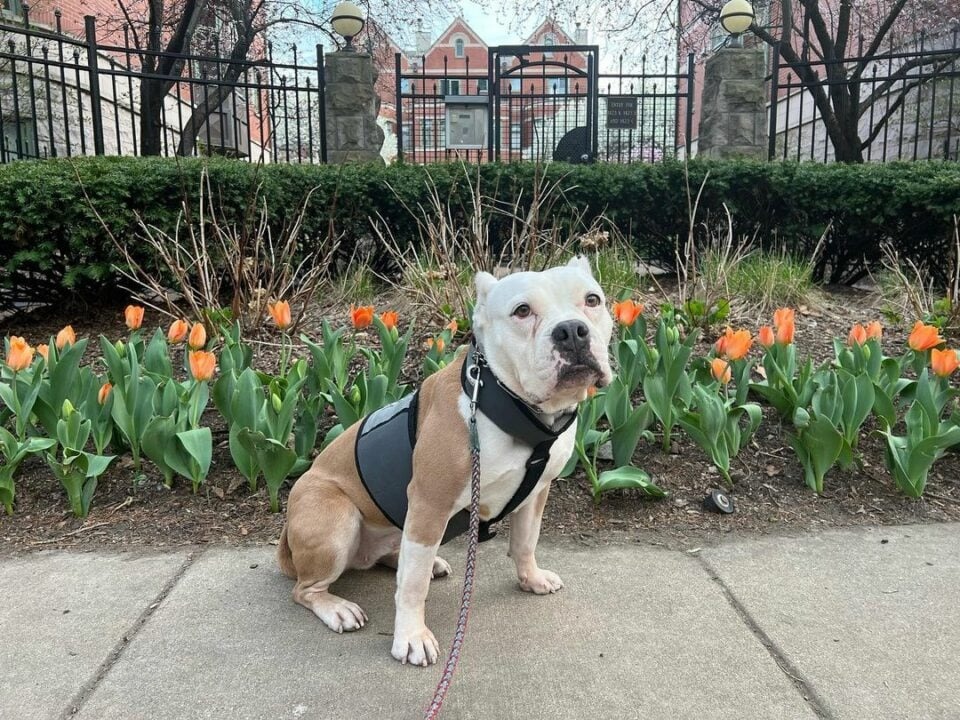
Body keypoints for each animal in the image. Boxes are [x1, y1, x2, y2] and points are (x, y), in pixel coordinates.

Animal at [276, 256, 616, 668]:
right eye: (521, 311)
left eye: (592, 300)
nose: (571, 331)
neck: (514, 405)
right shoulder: (430, 504)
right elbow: (412, 586)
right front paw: (411, 636)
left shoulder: (537, 491)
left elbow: (525, 541)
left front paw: (531, 578)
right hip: (336, 518)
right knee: (305, 589)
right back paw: (336, 607)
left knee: (393, 557)